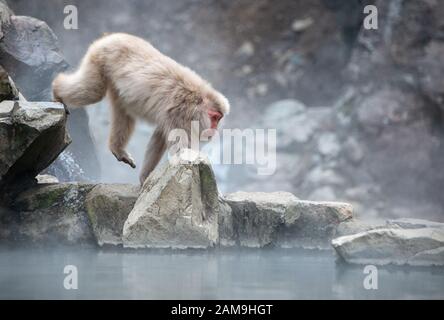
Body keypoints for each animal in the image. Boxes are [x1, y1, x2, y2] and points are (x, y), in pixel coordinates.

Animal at [53, 33, 229, 184]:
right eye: (214, 117)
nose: (215, 128)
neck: (195, 99)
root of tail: (111, 37)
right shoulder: (180, 113)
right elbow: (181, 149)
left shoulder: (173, 116)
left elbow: (159, 137)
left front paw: (145, 178)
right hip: (101, 59)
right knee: (93, 91)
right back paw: (56, 92)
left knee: (123, 112)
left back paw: (117, 149)